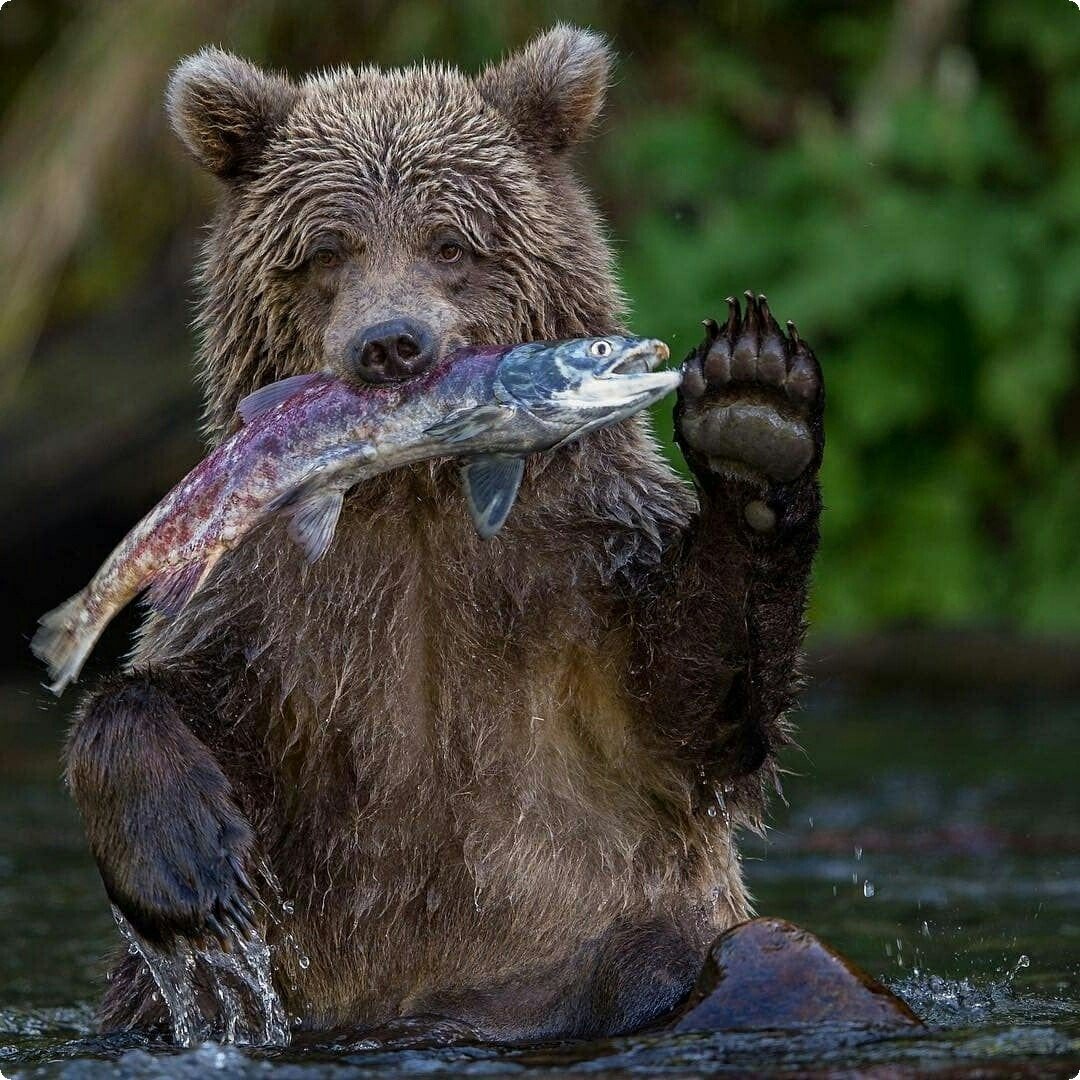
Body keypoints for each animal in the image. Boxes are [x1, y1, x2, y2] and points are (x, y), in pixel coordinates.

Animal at [65, 26, 824, 1042]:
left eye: (451, 241)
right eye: (328, 249)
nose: (392, 343)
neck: (416, 490)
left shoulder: (576, 568)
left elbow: (689, 708)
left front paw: (753, 411)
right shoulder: (276, 611)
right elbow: (172, 701)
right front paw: (191, 858)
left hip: (598, 954)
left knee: (711, 957)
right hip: (168, 995)